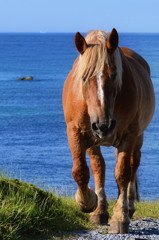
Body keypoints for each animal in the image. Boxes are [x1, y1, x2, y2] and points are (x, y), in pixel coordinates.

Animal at [62, 27, 155, 232]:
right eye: (84, 78)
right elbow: (82, 170)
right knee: (100, 167)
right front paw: (89, 203)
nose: (103, 125)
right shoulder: (78, 133)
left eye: (113, 75)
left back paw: (129, 206)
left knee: (133, 166)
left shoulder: (129, 135)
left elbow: (122, 173)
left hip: (138, 137)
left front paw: (120, 217)